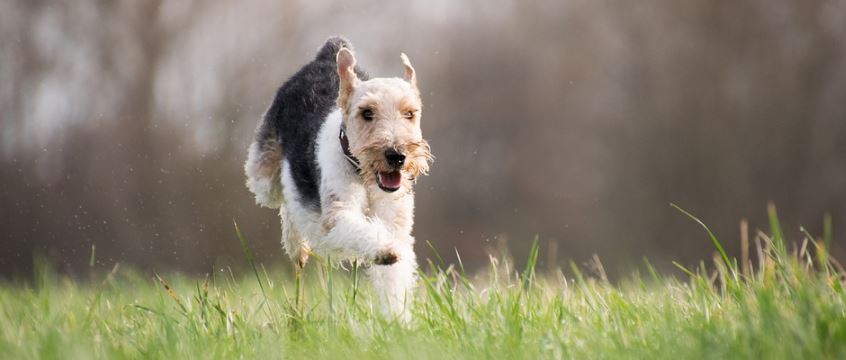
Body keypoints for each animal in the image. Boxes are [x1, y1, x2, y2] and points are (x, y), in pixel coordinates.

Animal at [243, 36, 430, 318]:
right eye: (367, 112)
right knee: (286, 199)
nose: (397, 155)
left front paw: (398, 320)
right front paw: (385, 250)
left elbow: (394, 278)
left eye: (410, 113)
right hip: (264, 178)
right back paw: (297, 247)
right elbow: (362, 232)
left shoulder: (396, 224)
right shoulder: (338, 213)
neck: (363, 176)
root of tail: (327, 53)